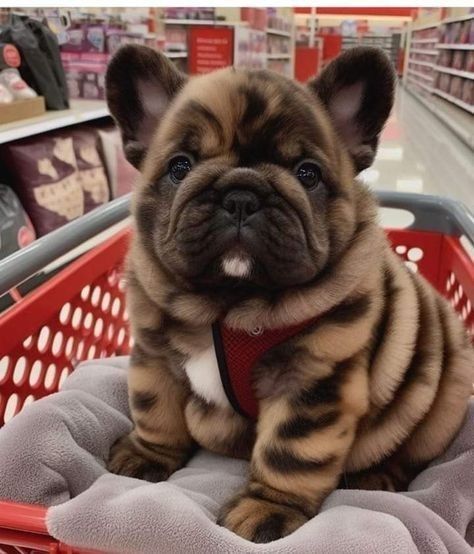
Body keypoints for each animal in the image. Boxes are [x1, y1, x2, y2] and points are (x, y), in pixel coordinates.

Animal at [104, 46, 474, 540]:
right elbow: (155, 410)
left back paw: (377, 477)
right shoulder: (155, 356)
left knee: (408, 452)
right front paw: (146, 454)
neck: (230, 305)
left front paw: (266, 510)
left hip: (440, 404)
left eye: (307, 174)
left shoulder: (312, 383)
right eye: (180, 166)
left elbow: (289, 453)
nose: (241, 195)